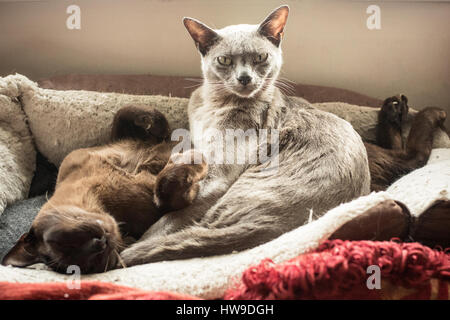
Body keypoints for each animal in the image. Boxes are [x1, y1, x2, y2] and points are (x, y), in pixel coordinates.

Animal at [1, 104, 207, 272]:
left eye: (63, 241)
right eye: (93, 264)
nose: (99, 243)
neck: (97, 196)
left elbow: (123, 114)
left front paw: (156, 123)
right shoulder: (157, 209)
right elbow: (165, 186)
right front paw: (194, 161)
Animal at [119, 5, 370, 264]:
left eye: (260, 58)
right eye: (224, 60)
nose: (245, 78)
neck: (214, 104)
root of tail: (277, 230)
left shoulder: (215, 178)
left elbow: (166, 222)